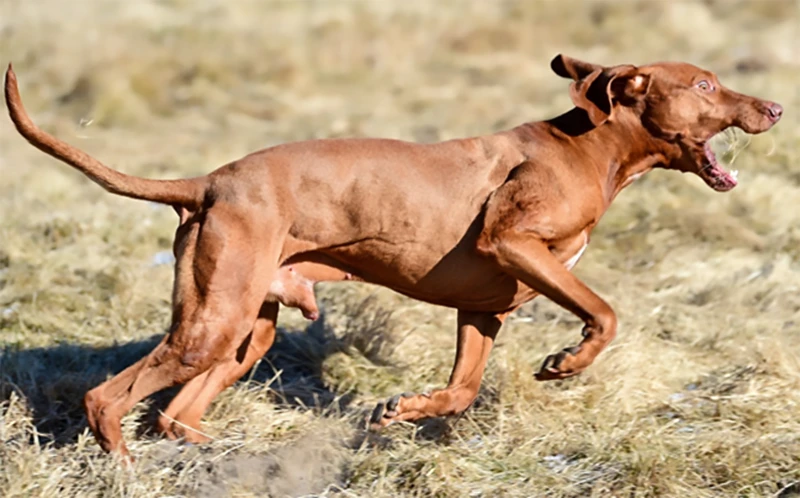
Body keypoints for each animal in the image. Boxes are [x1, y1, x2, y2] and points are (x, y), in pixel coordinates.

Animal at [6, 55, 780, 460]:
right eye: (705, 85)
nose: (774, 106)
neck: (589, 145)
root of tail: (210, 181)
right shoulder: (515, 244)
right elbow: (606, 313)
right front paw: (567, 362)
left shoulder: (484, 307)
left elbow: (461, 390)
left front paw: (402, 410)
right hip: (210, 324)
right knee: (107, 398)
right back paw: (125, 466)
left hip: (245, 332)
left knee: (175, 413)